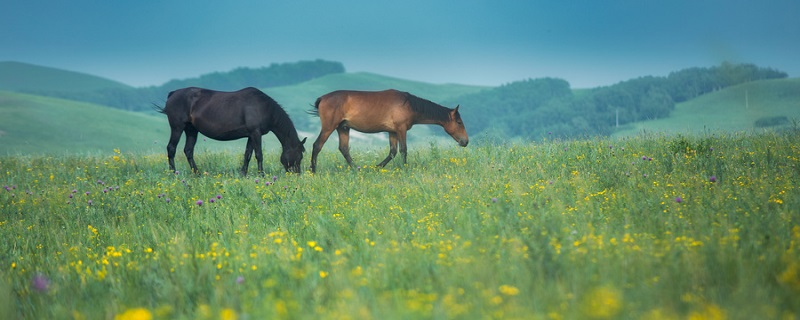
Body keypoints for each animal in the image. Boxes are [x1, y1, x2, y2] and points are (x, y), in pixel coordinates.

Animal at [155, 86, 306, 174]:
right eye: (299, 155)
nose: (297, 174)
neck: (264, 107)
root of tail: (173, 94)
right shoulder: (256, 133)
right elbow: (259, 154)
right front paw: (261, 174)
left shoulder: (251, 135)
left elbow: (247, 154)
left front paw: (243, 174)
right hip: (177, 127)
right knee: (171, 148)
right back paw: (173, 173)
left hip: (191, 130)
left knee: (188, 150)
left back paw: (197, 173)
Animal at [308, 89, 468, 172]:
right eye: (459, 122)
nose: (465, 141)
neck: (408, 104)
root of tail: (323, 98)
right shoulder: (401, 129)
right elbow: (403, 150)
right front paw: (404, 168)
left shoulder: (392, 132)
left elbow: (392, 152)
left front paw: (377, 167)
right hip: (329, 127)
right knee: (317, 146)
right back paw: (313, 170)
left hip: (343, 128)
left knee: (344, 149)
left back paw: (357, 168)